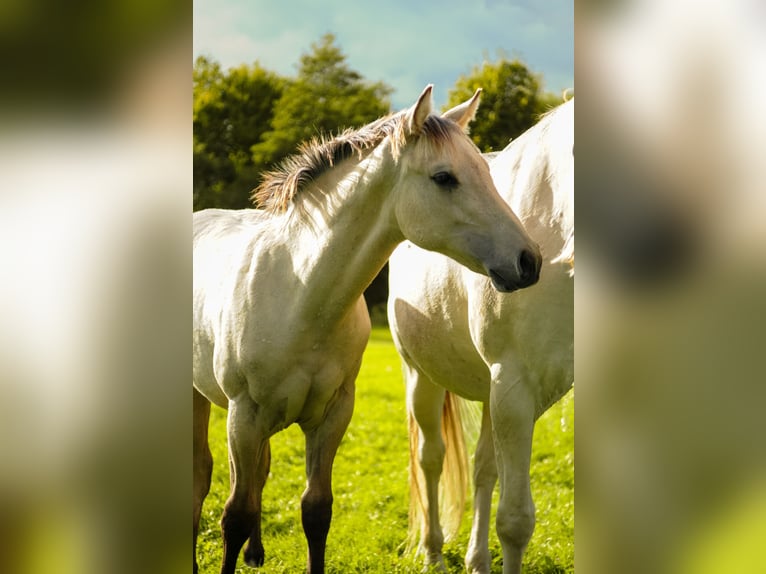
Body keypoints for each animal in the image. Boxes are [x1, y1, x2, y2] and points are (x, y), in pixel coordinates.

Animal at [192, 85, 542, 574]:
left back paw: (256, 553)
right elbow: (236, 514)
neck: (300, 295)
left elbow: (315, 510)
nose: (529, 260)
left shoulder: (333, 415)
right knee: (202, 475)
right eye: (444, 178)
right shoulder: (245, 416)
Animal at [388, 98, 574, 574]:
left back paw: (476, 558)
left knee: (482, 469)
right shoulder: (514, 387)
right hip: (424, 380)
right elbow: (516, 520)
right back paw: (434, 551)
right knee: (432, 459)